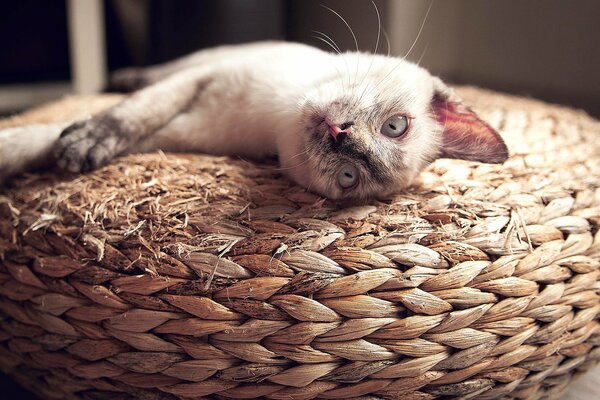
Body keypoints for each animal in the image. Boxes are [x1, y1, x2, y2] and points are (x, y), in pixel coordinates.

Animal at [0, 40, 508, 200]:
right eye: (396, 126)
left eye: (349, 176)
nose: (338, 134)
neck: (276, 108)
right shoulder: (200, 79)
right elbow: (127, 114)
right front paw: (81, 141)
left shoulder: (174, 132)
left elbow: (45, 141)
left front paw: (61, 149)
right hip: (204, 58)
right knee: (144, 79)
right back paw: (117, 76)